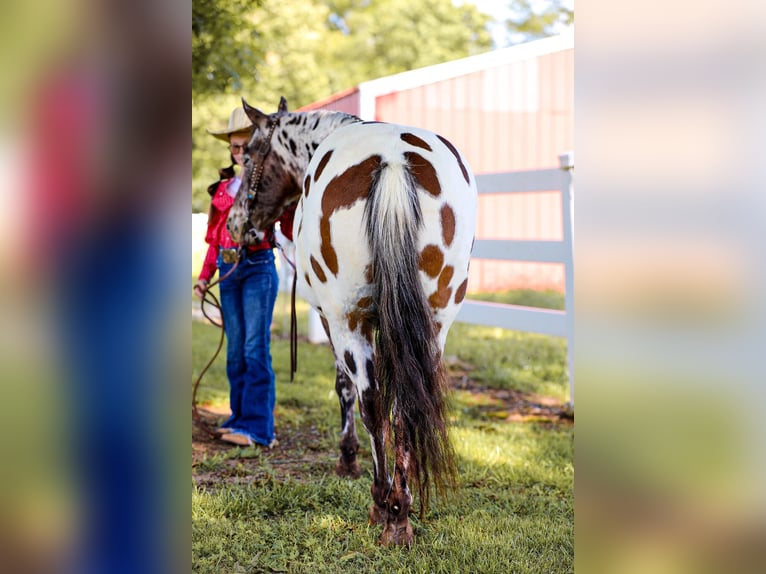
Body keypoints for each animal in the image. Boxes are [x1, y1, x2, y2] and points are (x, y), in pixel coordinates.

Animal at [227, 97, 477, 546]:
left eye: (251, 154)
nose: (238, 224)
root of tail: (394, 159)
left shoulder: (331, 319)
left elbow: (345, 388)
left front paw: (347, 459)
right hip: (435, 323)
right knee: (407, 406)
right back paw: (401, 511)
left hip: (349, 320)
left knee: (372, 402)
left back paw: (384, 506)